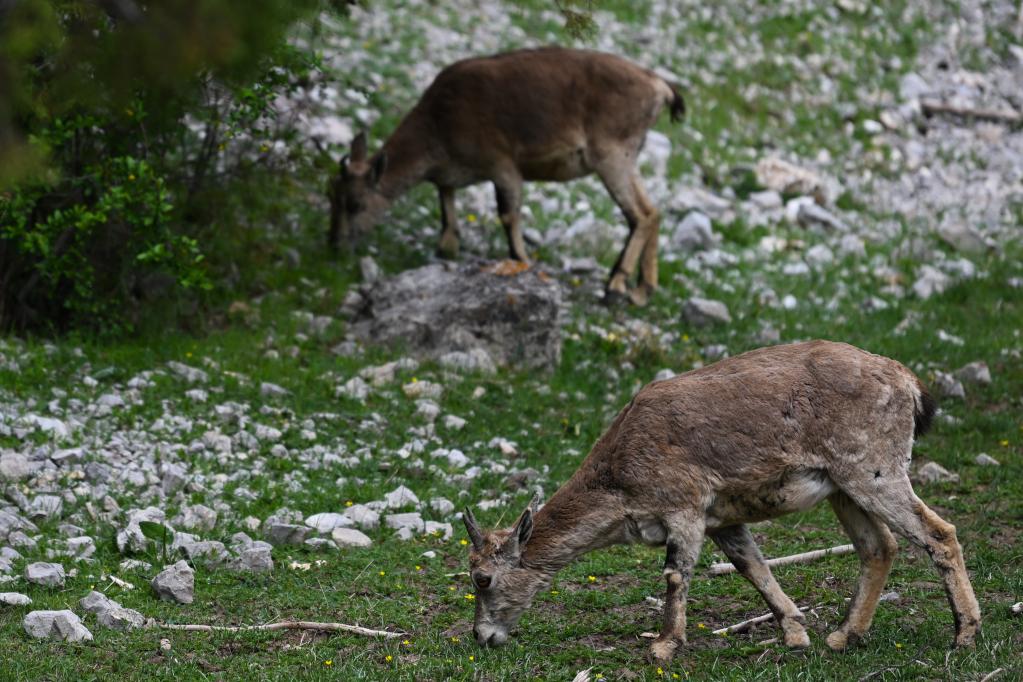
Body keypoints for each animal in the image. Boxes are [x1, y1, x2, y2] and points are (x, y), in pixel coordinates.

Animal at [327, 46, 685, 306]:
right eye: (332, 198)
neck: (439, 124)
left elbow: (508, 215)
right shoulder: (451, 175)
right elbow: (446, 205)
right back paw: (641, 290)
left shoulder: (503, 165)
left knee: (641, 214)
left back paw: (616, 285)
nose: (335, 246)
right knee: (652, 211)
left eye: (355, 203)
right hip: (626, 156)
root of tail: (661, 88)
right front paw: (447, 249)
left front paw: (521, 262)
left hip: (612, 155)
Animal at [462, 340, 981, 663]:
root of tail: (911, 386)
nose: (482, 637)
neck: (619, 480)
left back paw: (964, 634)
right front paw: (795, 633)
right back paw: (843, 635)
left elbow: (675, 574)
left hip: (875, 471)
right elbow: (752, 567)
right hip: (843, 487)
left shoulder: (684, 507)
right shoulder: (722, 520)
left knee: (939, 533)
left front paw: (664, 645)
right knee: (879, 546)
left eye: (483, 578)